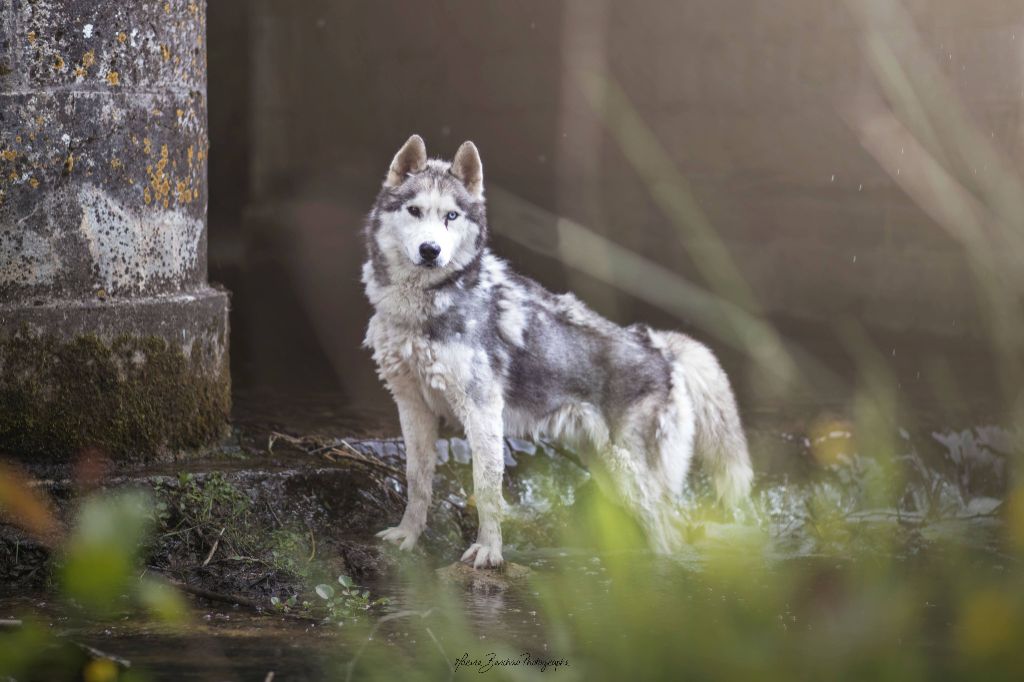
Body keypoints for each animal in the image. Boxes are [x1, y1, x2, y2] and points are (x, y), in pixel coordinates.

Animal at [362, 135, 753, 565]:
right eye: (415, 211)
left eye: (451, 216)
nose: (430, 250)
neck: (426, 306)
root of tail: (660, 345)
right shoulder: (412, 406)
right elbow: (417, 481)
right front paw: (407, 536)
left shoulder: (482, 412)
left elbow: (487, 489)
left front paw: (489, 551)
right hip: (608, 471)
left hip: (631, 474)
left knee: (670, 530)